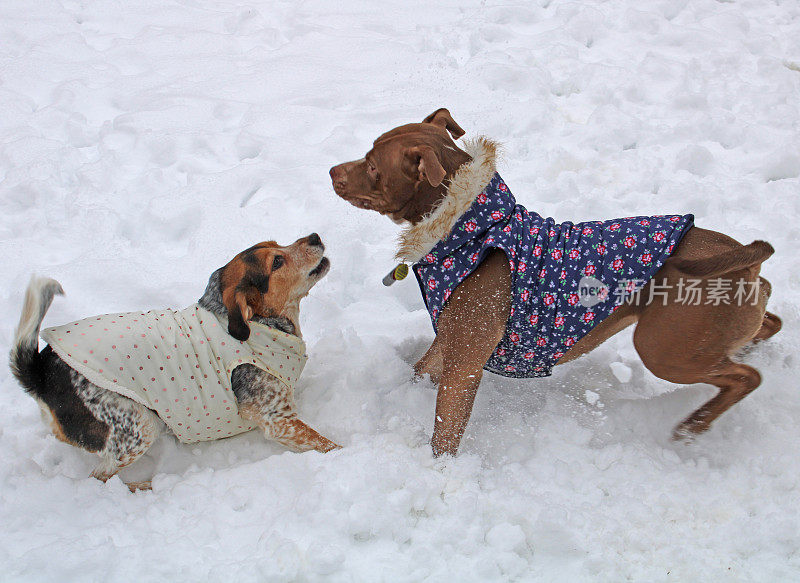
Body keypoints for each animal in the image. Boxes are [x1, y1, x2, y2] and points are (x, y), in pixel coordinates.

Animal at [10, 235, 340, 490]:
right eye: (277, 262)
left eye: (277, 244)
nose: (314, 236)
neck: (262, 325)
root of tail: (39, 371)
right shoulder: (278, 421)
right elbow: (328, 445)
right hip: (139, 425)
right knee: (99, 476)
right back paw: (142, 486)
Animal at [330, 108, 780, 456]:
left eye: (373, 166)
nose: (332, 169)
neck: (467, 230)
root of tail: (744, 258)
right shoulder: (449, 340)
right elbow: (420, 371)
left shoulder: (464, 365)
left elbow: (445, 432)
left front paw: (438, 474)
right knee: (767, 321)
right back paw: (750, 348)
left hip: (664, 348)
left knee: (746, 378)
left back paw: (693, 426)